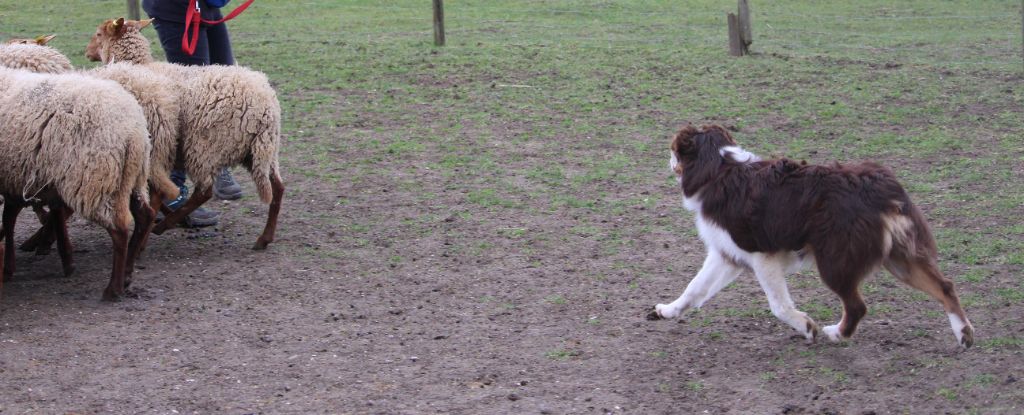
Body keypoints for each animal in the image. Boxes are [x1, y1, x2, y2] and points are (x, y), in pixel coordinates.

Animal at [0, 66, 153, 299]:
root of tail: (134, 131)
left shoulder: (11, 180)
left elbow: (9, 220)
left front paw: (8, 268)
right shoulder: (20, 179)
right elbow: (39, 216)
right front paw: (66, 262)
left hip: (95, 181)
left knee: (120, 229)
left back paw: (113, 290)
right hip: (129, 179)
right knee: (145, 216)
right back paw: (127, 274)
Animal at [88, 18, 286, 249]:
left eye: (99, 34)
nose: (87, 52)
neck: (139, 64)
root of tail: (265, 106)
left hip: (204, 146)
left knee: (204, 192)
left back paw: (165, 225)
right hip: (262, 150)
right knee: (278, 188)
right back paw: (264, 238)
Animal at [647, 122, 974, 346]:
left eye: (673, 150)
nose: (666, 160)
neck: (719, 167)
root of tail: (880, 187)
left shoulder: (761, 256)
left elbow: (779, 305)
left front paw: (806, 326)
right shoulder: (727, 254)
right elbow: (694, 288)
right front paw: (668, 311)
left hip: (835, 263)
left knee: (857, 306)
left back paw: (836, 334)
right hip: (900, 259)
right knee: (945, 287)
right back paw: (964, 334)